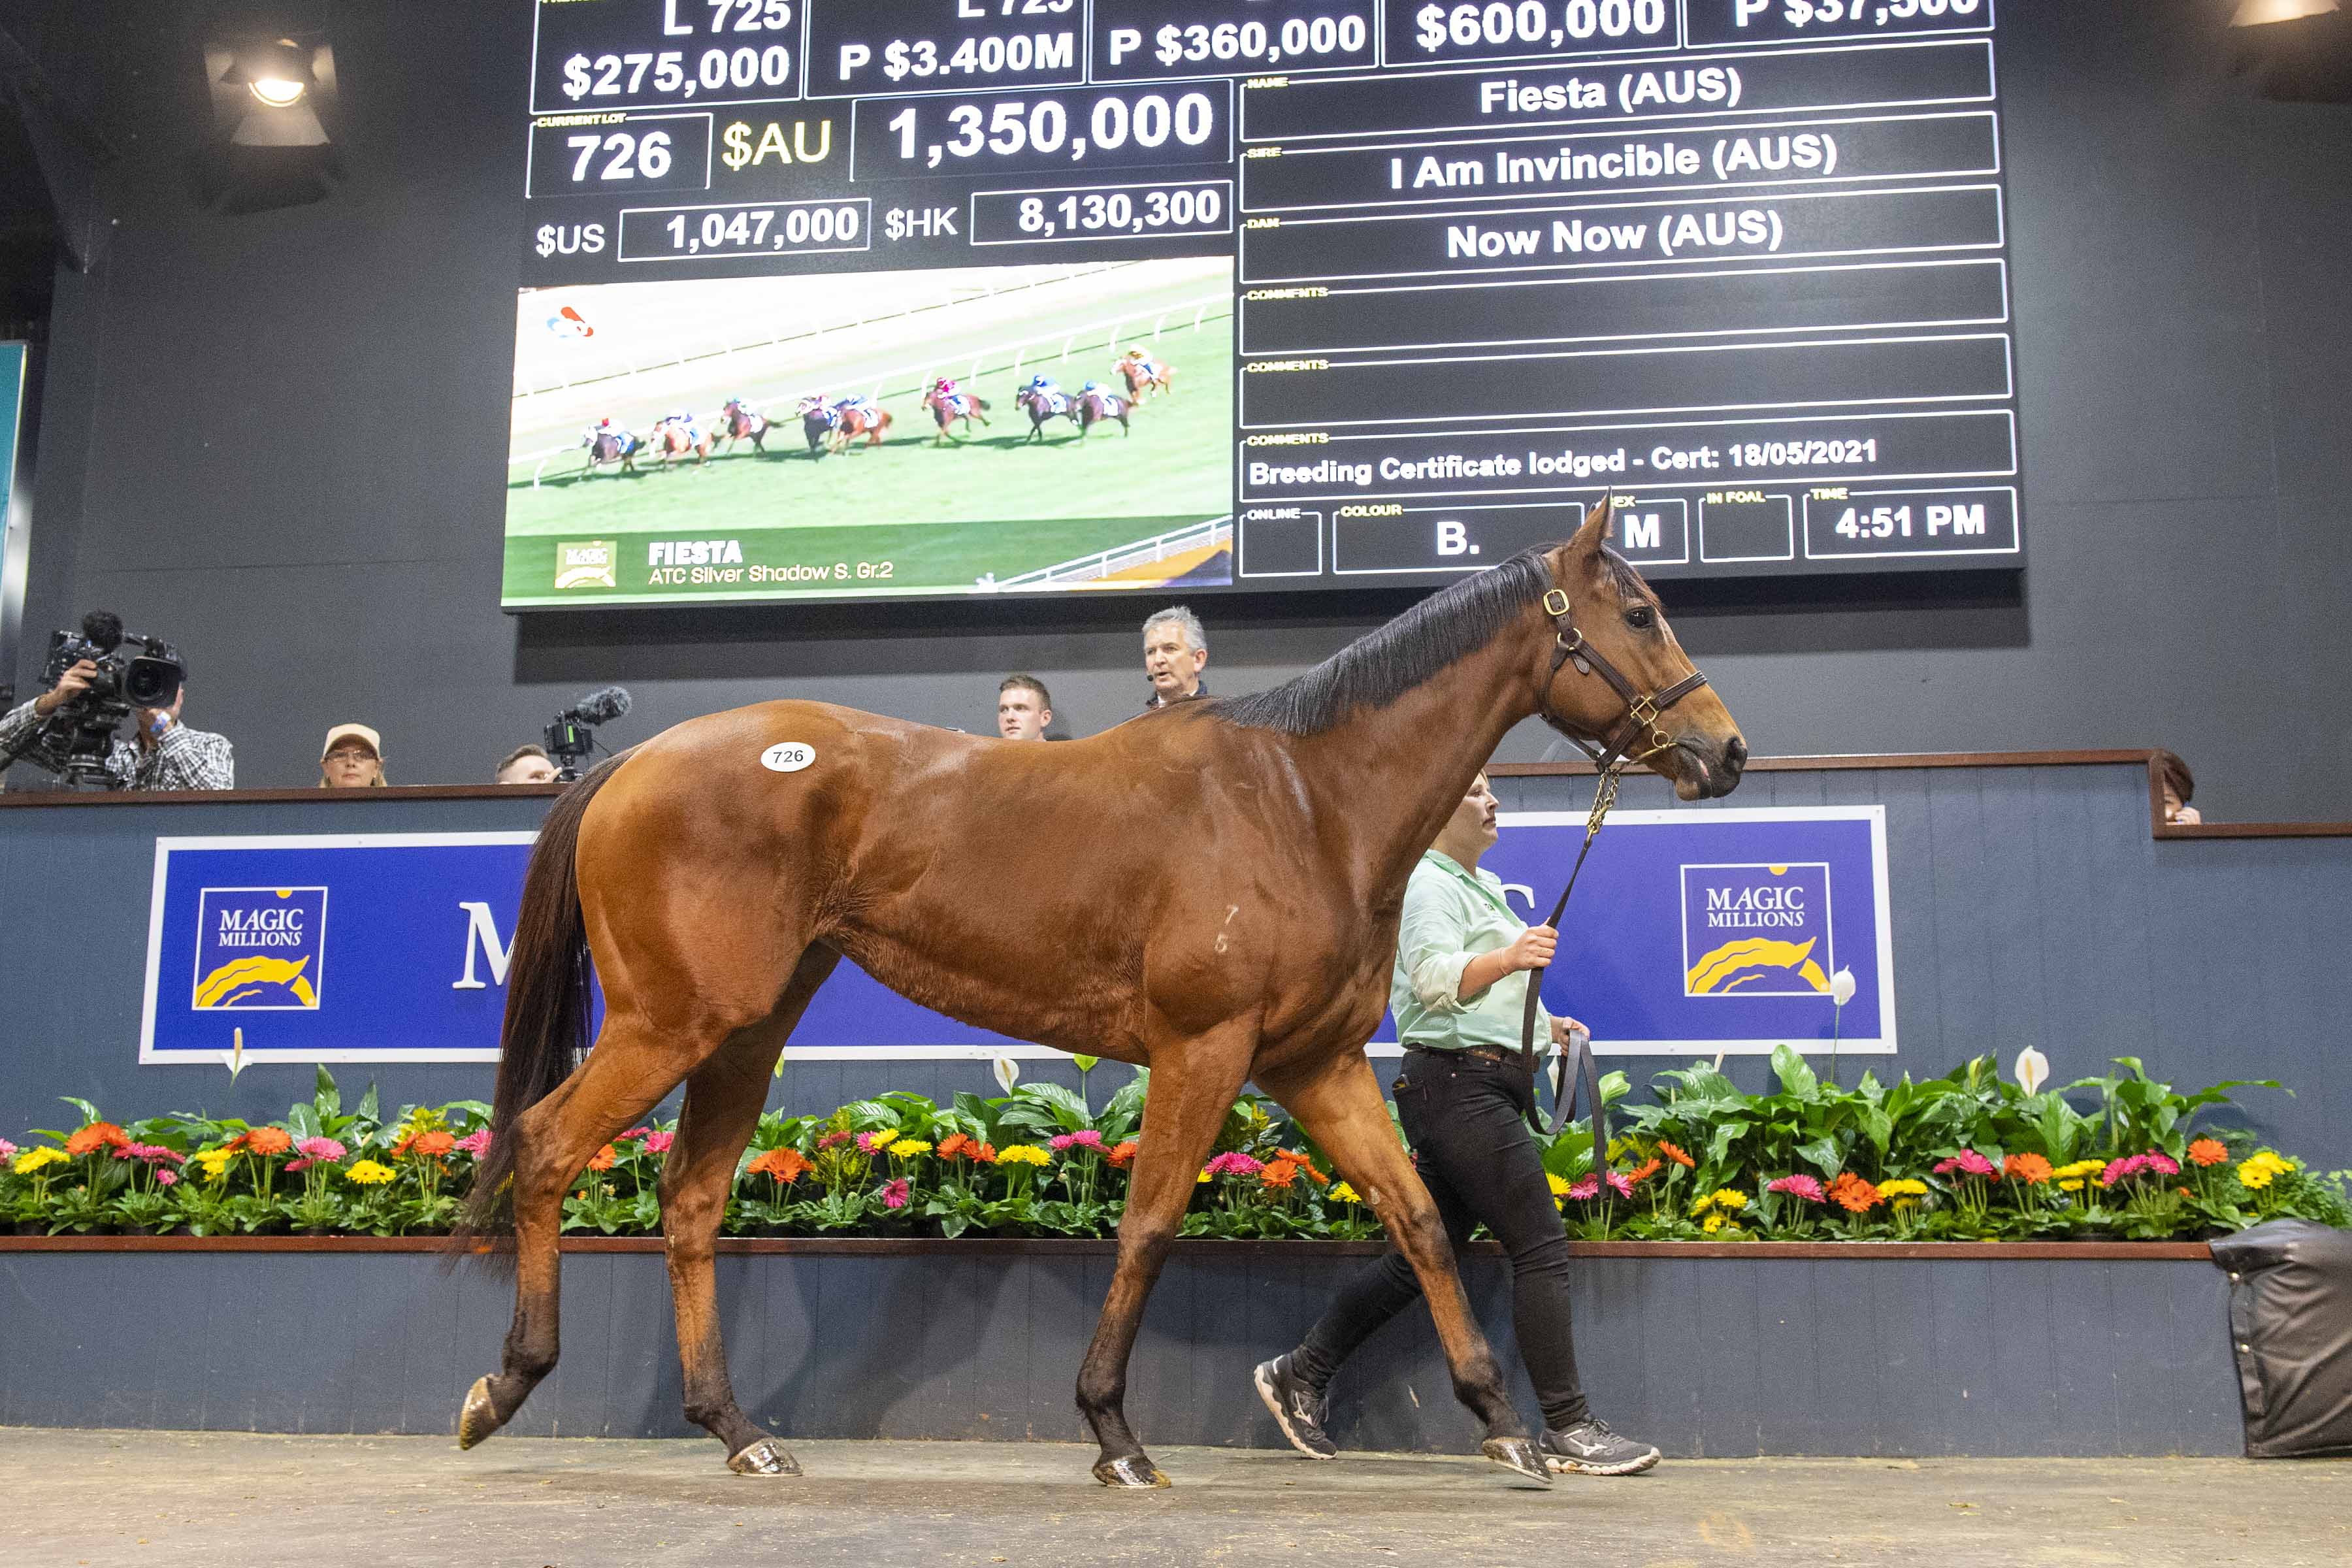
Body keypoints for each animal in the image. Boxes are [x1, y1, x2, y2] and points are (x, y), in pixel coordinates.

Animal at [459, 496, 1750, 1495]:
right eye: (1640, 613)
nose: (1725, 751)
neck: (1306, 803)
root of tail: (634, 762)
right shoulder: (1205, 1050)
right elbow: (1150, 1224)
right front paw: (1114, 1433)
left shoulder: (1315, 1065)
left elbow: (1420, 1219)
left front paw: (1500, 1423)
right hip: (672, 1024)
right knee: (548, 1145)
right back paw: (505, 1385)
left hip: (746, 1032)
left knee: (688, 1201)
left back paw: (739, 1434)